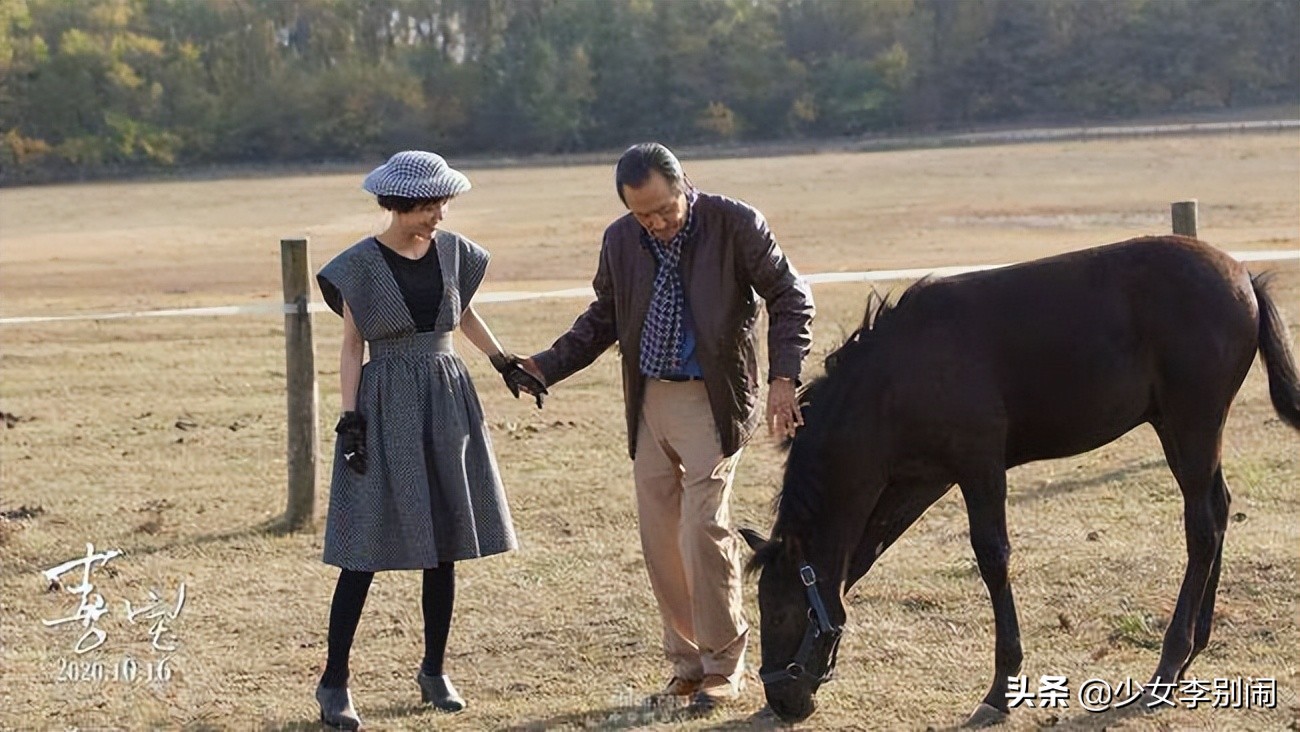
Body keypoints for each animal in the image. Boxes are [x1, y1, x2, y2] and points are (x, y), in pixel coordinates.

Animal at [743, 237, 1300, 722]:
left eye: (778, 614)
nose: (781, 702)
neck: (896, 377)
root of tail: (1243, 277)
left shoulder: (980, 468)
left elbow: (993, 559)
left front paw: (1000, 687)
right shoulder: (918, 481)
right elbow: (862, 557)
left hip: (1192, 424)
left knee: (1201, 529)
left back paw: (1168, 662)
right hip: (1178, 428)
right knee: (1219, 512)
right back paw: (1193, 650)